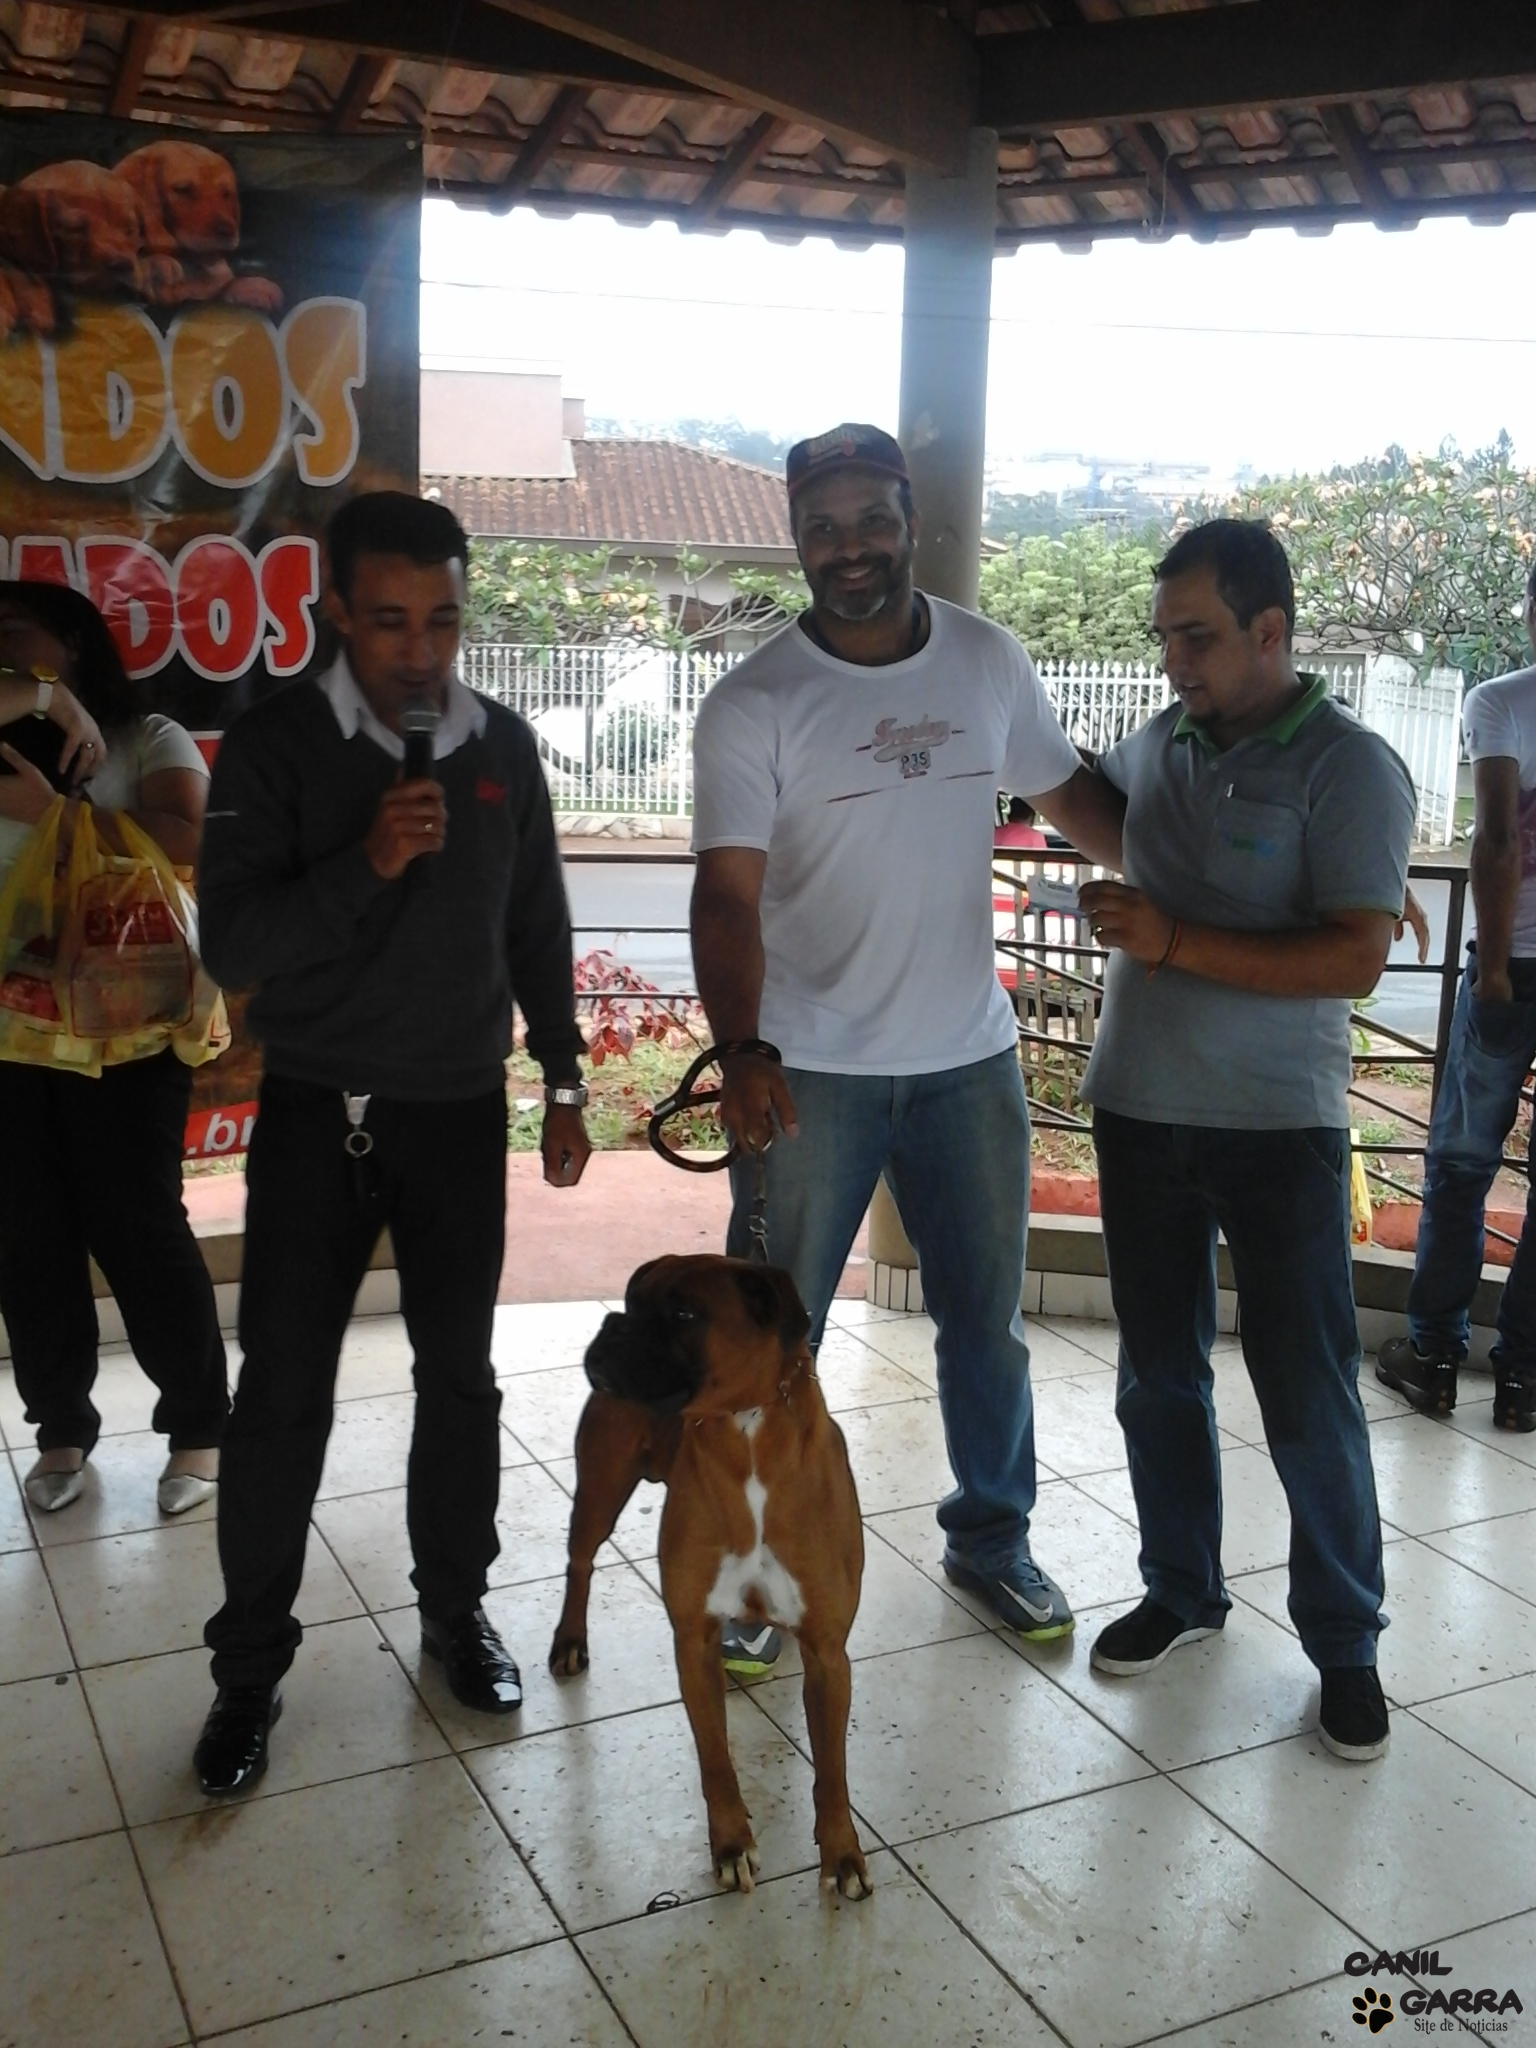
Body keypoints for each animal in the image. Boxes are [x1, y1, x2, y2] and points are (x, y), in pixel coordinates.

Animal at [551, 1254, 871, 1900]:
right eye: (631, 1299)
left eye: (682, 1314)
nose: (612, 1326)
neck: (743, 1433)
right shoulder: (693, 1641)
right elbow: (716, 1759)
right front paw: (731, 1845)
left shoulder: (829, 1655)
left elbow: (832, 1770)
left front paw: (843, 1852)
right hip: (599, 1490)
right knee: (580, 1561)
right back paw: (570, 1640)